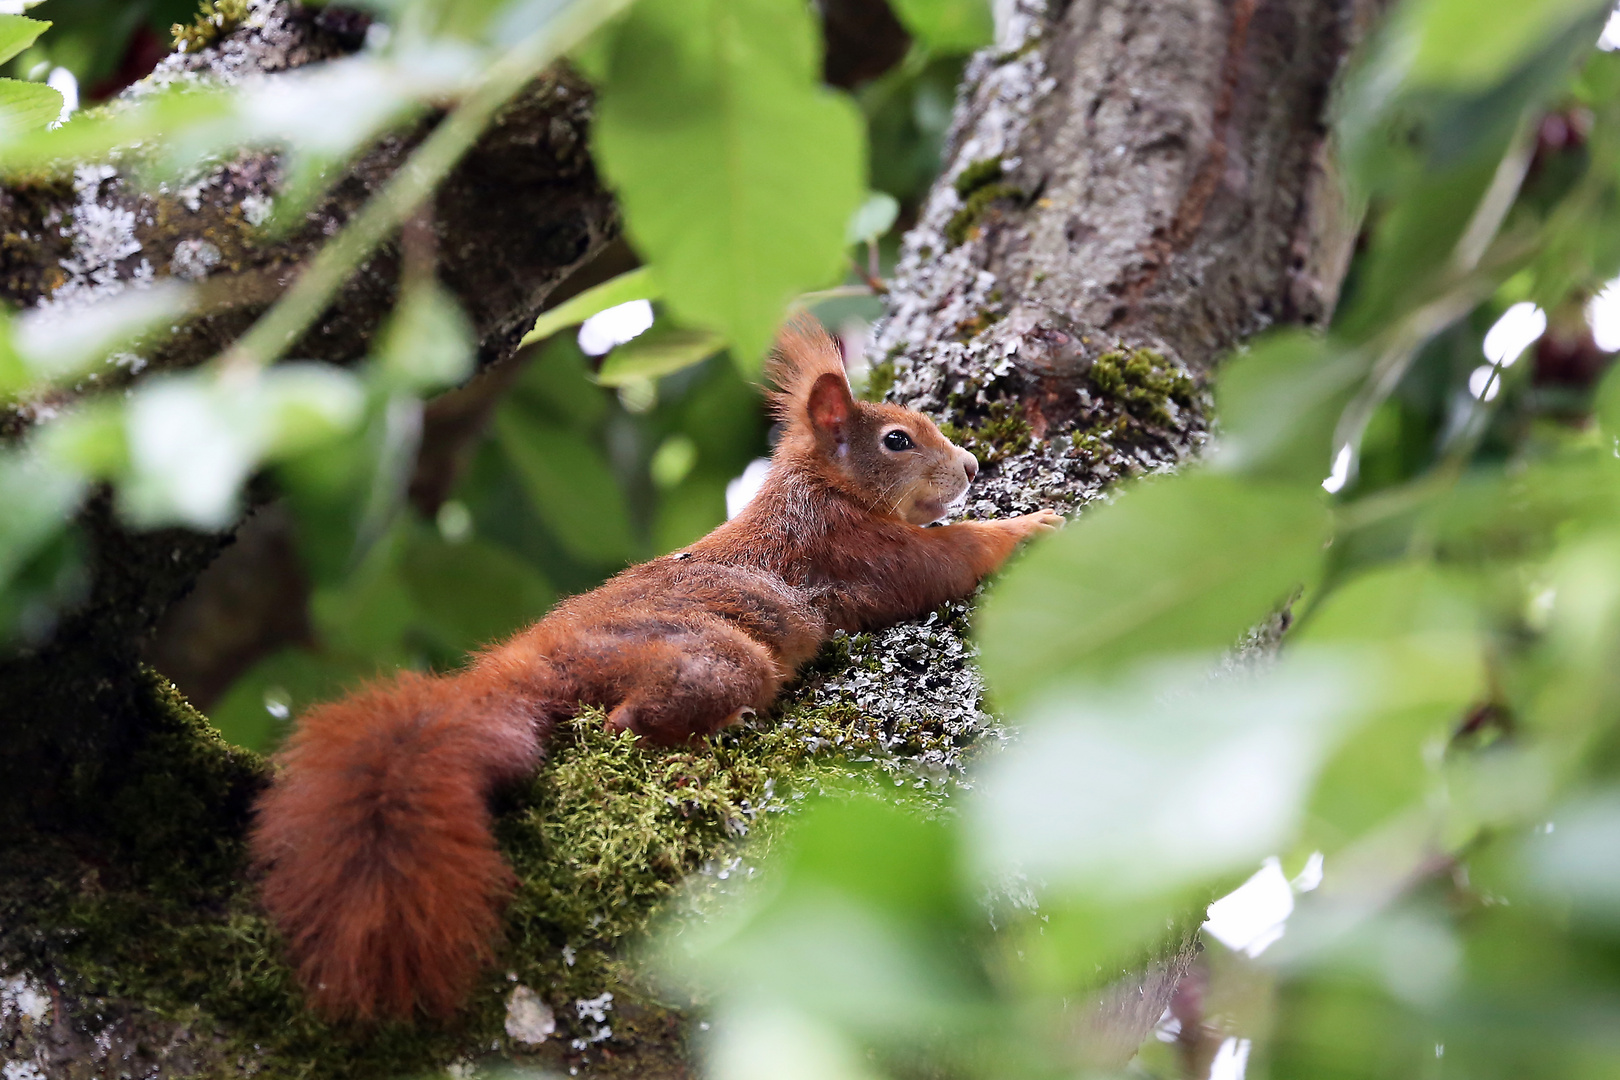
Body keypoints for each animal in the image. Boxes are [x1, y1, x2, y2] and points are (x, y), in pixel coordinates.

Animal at [249, 318, 1062, 1023]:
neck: (818, 487)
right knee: (629, 722)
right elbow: (946, 559)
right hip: (707, 653)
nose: (972, 465)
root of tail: (525, 658)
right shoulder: (855, 549)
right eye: (897, 440)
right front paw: (1028, 528)